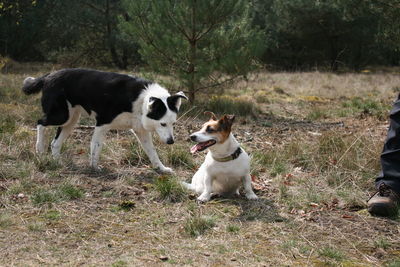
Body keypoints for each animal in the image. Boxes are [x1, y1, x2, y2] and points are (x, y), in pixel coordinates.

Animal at [23, 68, 188, 174]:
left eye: (173, 124)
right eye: (162, 124)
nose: (171, 142)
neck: (141, 99)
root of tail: (49, 75)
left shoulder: (141, 130)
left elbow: (152, 152)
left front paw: (161, 168)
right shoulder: (102, 123)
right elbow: (96, 146)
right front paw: (95, 168)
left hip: (71, 120)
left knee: (55, 143)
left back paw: (57, 162)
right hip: (61, 115)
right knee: (40, 122)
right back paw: (39, 148)